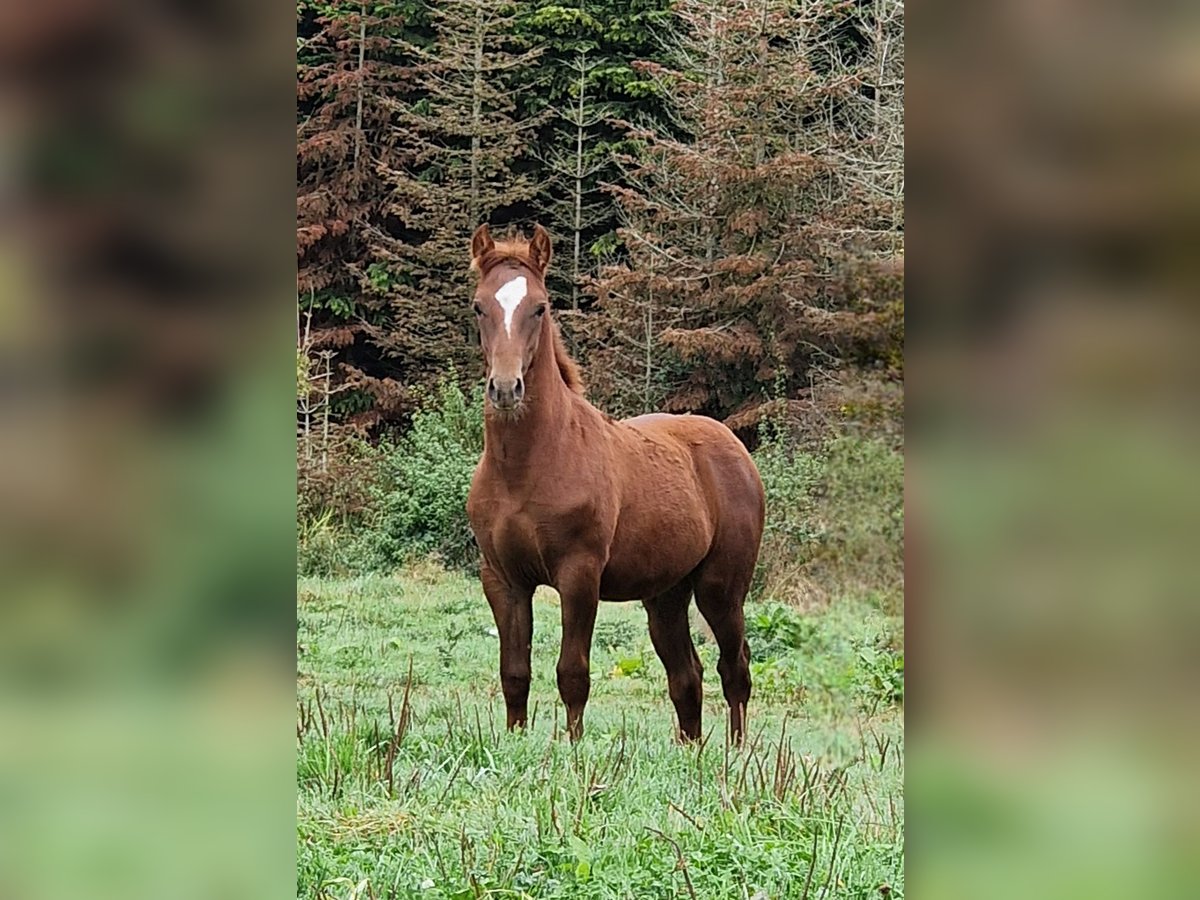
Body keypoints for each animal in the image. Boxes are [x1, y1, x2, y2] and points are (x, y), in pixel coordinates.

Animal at [465, 223, 765, 743]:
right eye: (480, 306)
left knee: (735, 669)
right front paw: (515, 743)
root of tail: (735, 448)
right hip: (665, 595)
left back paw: (736, 752)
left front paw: (573, 749)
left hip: (721, 587)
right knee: (687, 676)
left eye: (540, 307)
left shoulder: (579, 575)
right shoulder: (502, 579)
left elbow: (572, 673)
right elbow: (514, 673)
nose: (505, 389)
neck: (526, 468)